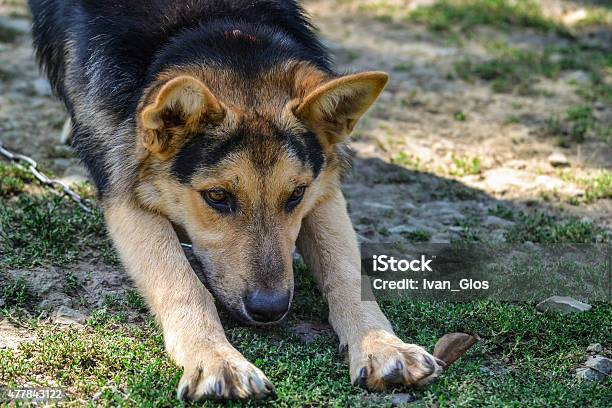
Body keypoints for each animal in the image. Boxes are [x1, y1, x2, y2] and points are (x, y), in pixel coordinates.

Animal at [29, 0, 440, 402]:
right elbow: (181, 285)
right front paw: (215, 360)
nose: (270, 310)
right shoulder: (124, 193)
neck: (214, 23)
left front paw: (382, 345)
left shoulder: (324, 190)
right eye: (217, 196)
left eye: (296, 194)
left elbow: (346, 272)